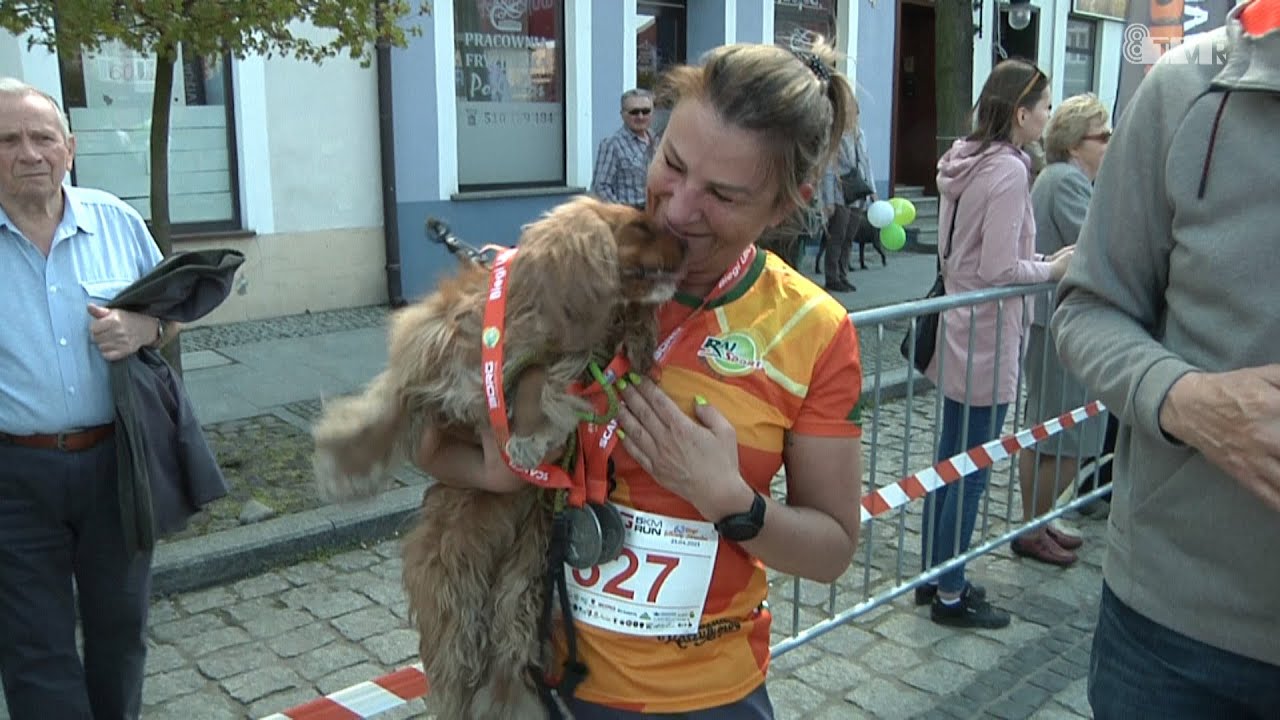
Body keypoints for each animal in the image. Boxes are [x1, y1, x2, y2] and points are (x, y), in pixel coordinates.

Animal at [308, 196, 686, 717]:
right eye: (642, 226)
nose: (686, 244)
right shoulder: (428, 347)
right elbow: (387, 404)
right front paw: (346, 460)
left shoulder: (564, 364)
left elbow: (538, 382)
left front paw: (526, 435)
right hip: (454, 573)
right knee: (457, 658)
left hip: (525, 576)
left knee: (508, 652)